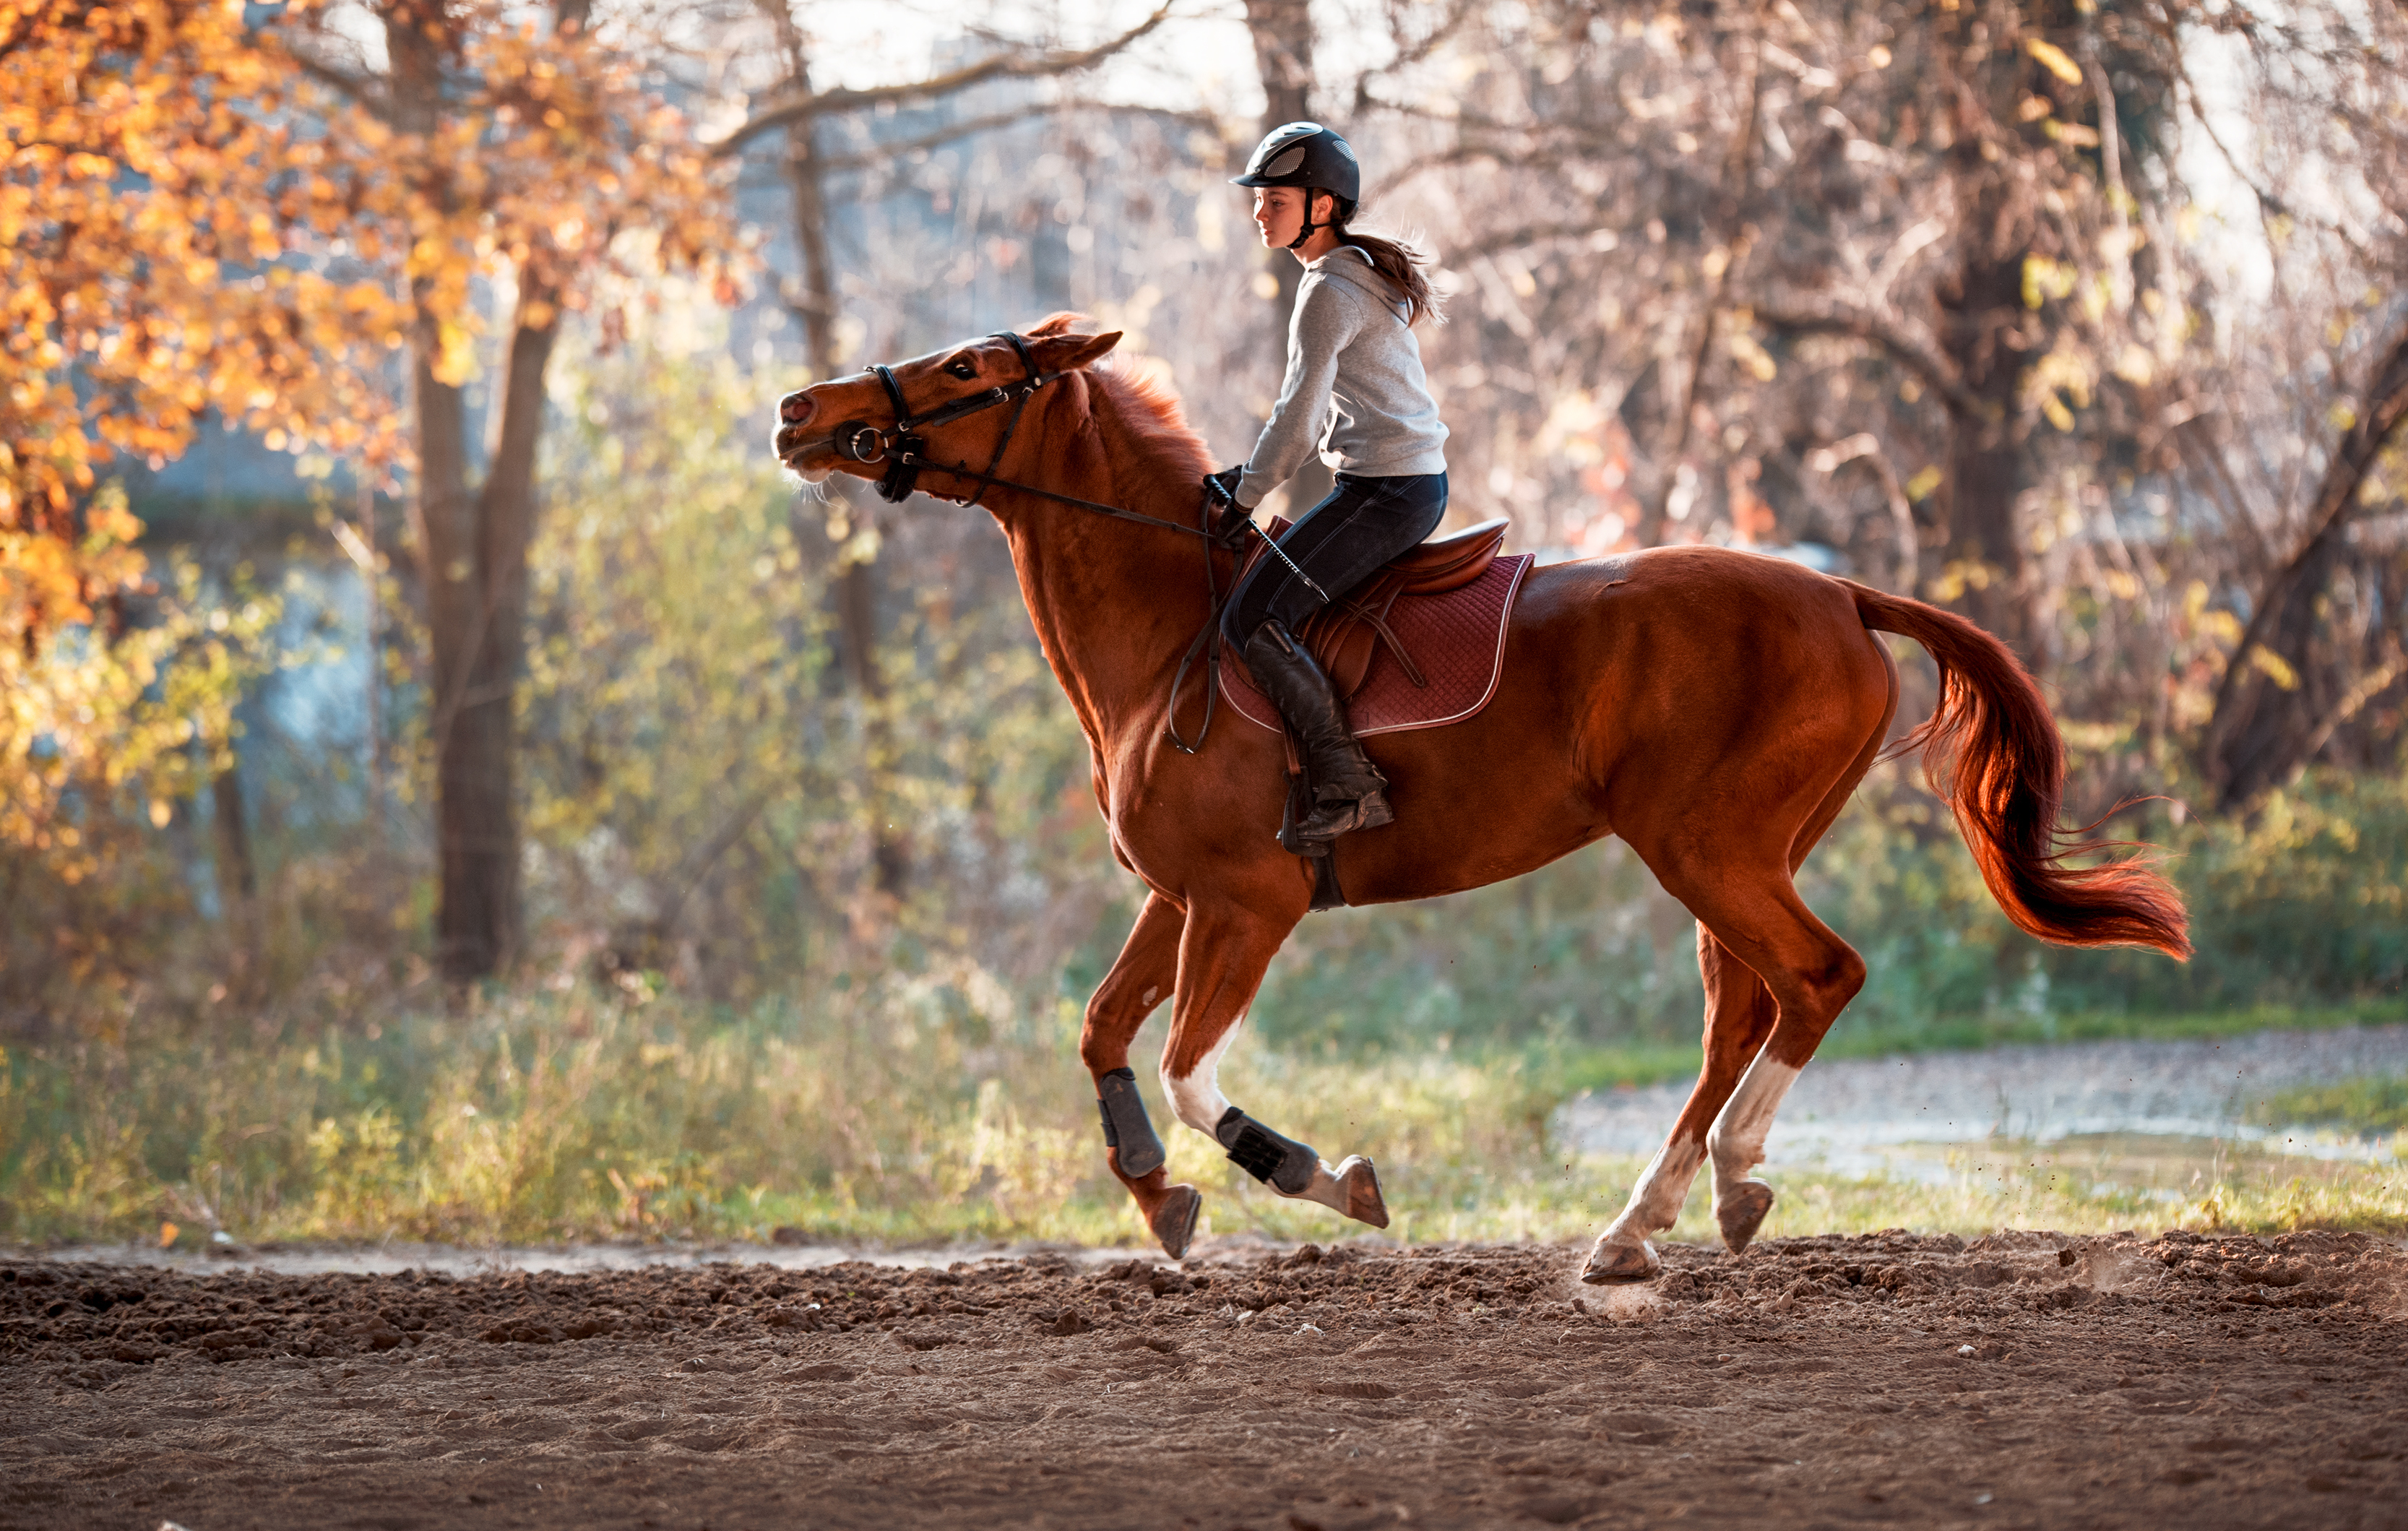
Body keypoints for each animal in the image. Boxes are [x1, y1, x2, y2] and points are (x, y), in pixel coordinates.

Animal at [765, 313, 2186, 1280]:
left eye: (964, 370)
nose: (795, 409)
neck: (1172, 634)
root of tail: (1839, 590)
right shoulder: (1181, 899)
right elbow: (1104, 1031)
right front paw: (1161, 1200)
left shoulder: (1247, 901)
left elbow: (1183, 1067)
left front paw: (1323, 1177)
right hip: (1728, 855)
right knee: (1747, 1008)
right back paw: (1643, 1223)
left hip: (1707, 846)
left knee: (1814, 978)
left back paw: (1715, 1188)